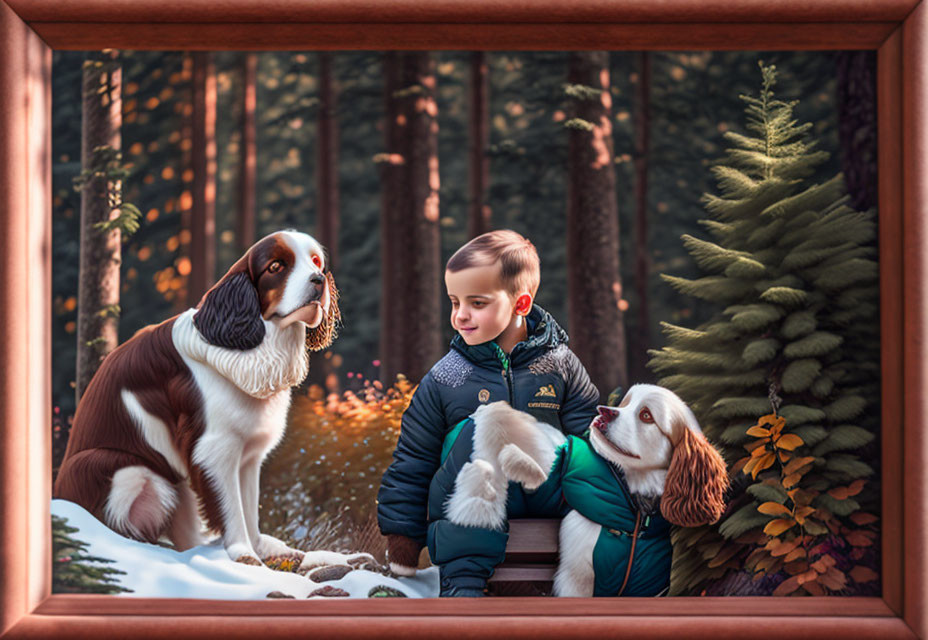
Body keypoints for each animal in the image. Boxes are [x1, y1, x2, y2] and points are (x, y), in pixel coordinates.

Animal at [55, 230, 358, 568]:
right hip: (125, 470)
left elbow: (249, 508)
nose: (319, 279)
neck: (252, 347)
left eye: (316, 261)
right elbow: (231, 510)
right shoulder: (214, 451)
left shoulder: (249, 456)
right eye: (276, 267)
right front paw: (244, 555)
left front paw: (265, 549)